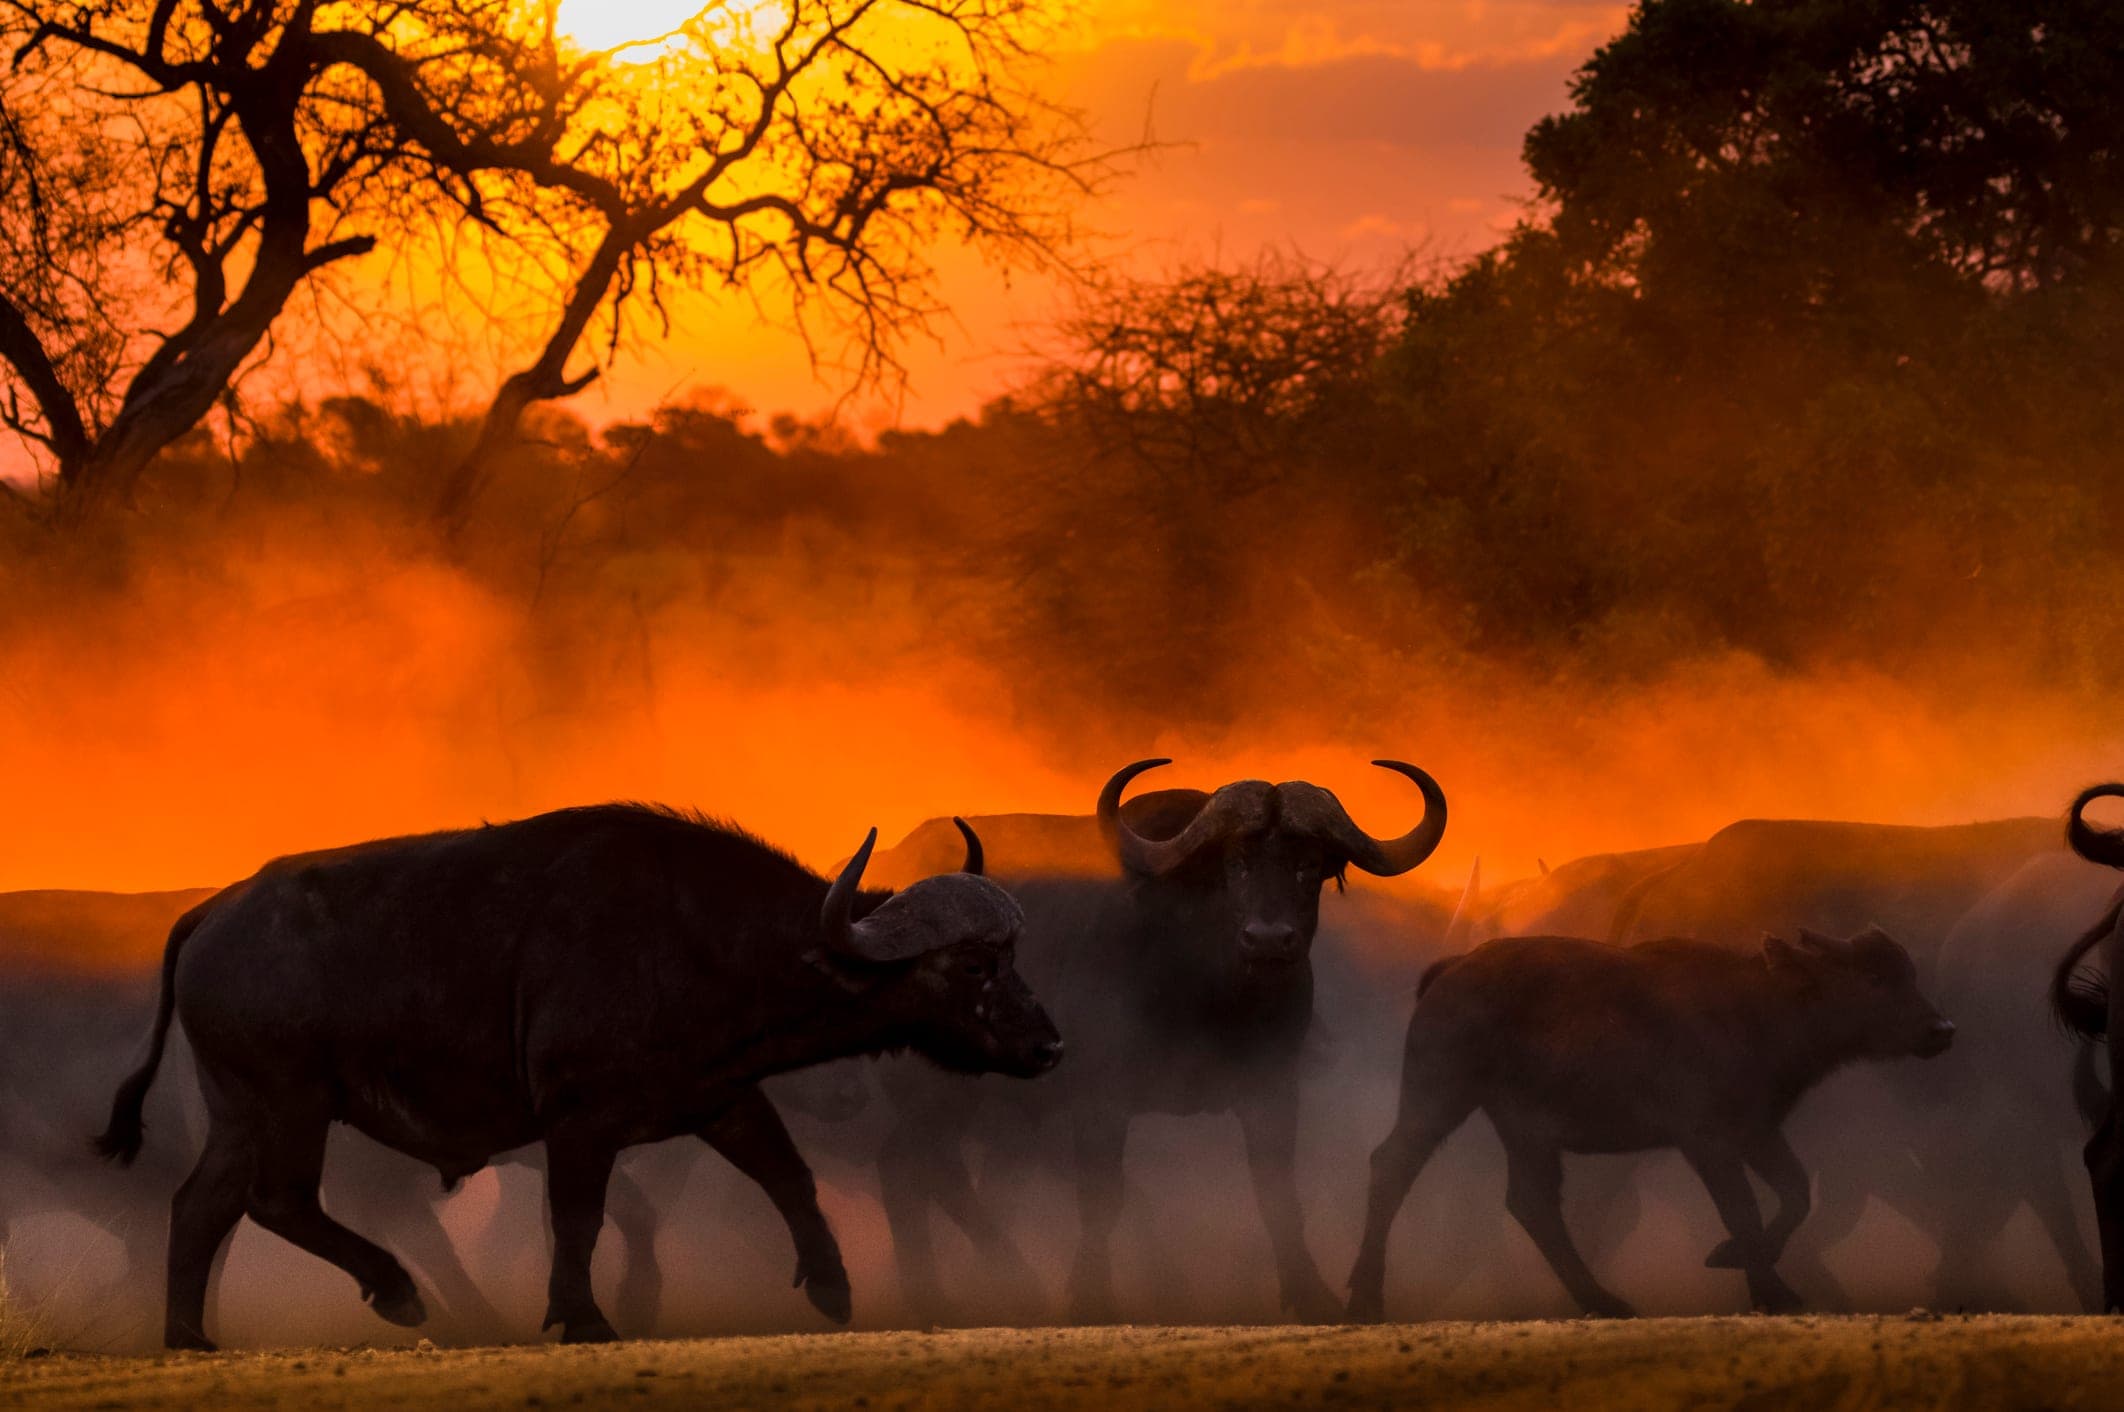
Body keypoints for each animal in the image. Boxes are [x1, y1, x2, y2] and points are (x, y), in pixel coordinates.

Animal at [93, 804, 1062, 1349]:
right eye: (974, 966)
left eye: (1014, 956)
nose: (1049, 1047)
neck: (699, 937)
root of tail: (213, 913)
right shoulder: (579, 1122)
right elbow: (578, 1220)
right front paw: (583, 1318)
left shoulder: (722, 1097)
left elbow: (791, 1177)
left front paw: (832, 1287)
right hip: (290, 1103)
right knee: (276, 1201)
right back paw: (396, 1292)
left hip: (239, 1111)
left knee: (202, 1205)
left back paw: (189, 1337)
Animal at [1348, 928, 1955, 1321]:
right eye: (1873, 979)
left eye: (1908, 974)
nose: (1941, 1030)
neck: (1760, 1004)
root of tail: (1451, 971)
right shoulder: (1707, 1139)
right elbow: (1743, 1207)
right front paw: (1767, 1286)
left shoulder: (1756, 1130)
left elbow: (1794, 1191)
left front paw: (1738, 1262)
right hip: (1439, 1099)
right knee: (1393, 1165)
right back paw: (1364, 1301)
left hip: (1526, 1132)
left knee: (1532, 1202)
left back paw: (1605, 1301)